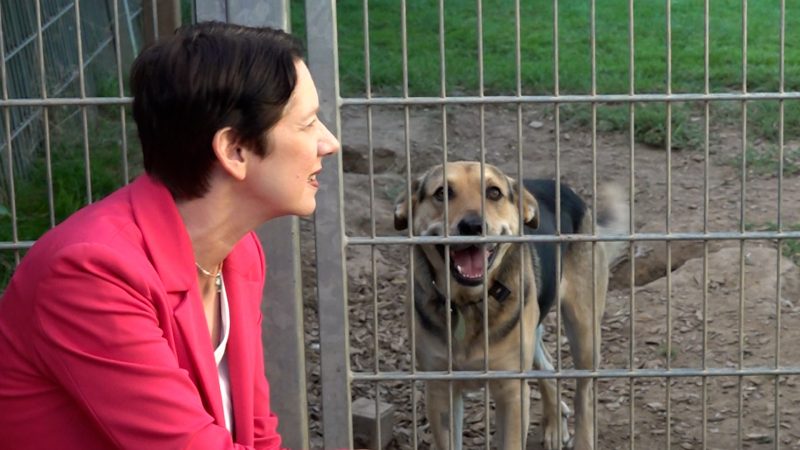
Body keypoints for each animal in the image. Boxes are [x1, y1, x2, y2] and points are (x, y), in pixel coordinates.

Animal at [392, 163, 624, 450]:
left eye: (494, 193)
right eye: (442, 193)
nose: (472, 226)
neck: (469, 302)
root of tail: (565, 190)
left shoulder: (512, 390)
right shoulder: (440, 392)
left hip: (584, 333)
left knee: (585, 393)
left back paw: (582, 438)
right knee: (548, 367)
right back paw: (554, 425)